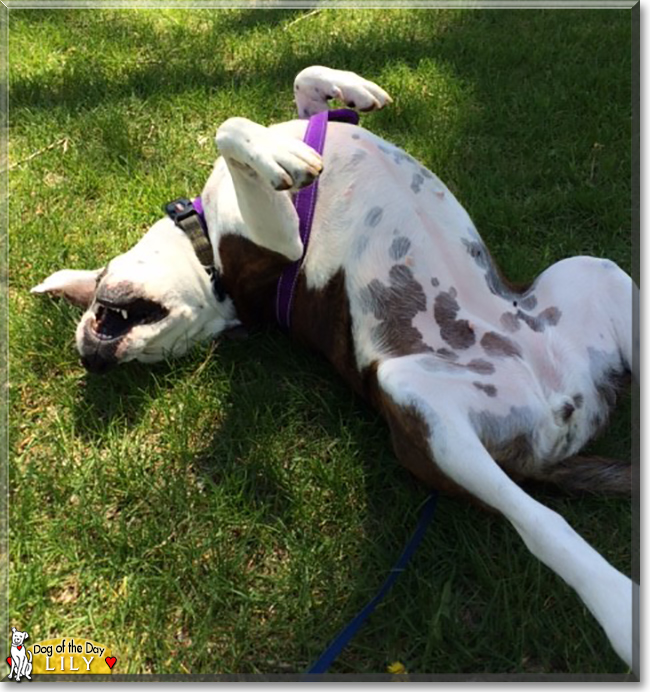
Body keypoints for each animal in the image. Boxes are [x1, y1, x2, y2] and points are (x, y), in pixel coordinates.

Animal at [30, 65, 632, 672]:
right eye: (166, 360)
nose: (94, 359)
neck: (212, 270)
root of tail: (555, 429)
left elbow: (301, 83)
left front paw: (349, 91)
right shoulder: (277, 245)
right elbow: (229, 127)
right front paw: (278, 156)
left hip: (594, 273)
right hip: (420, 404)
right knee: (540, 522)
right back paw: (620, 607)